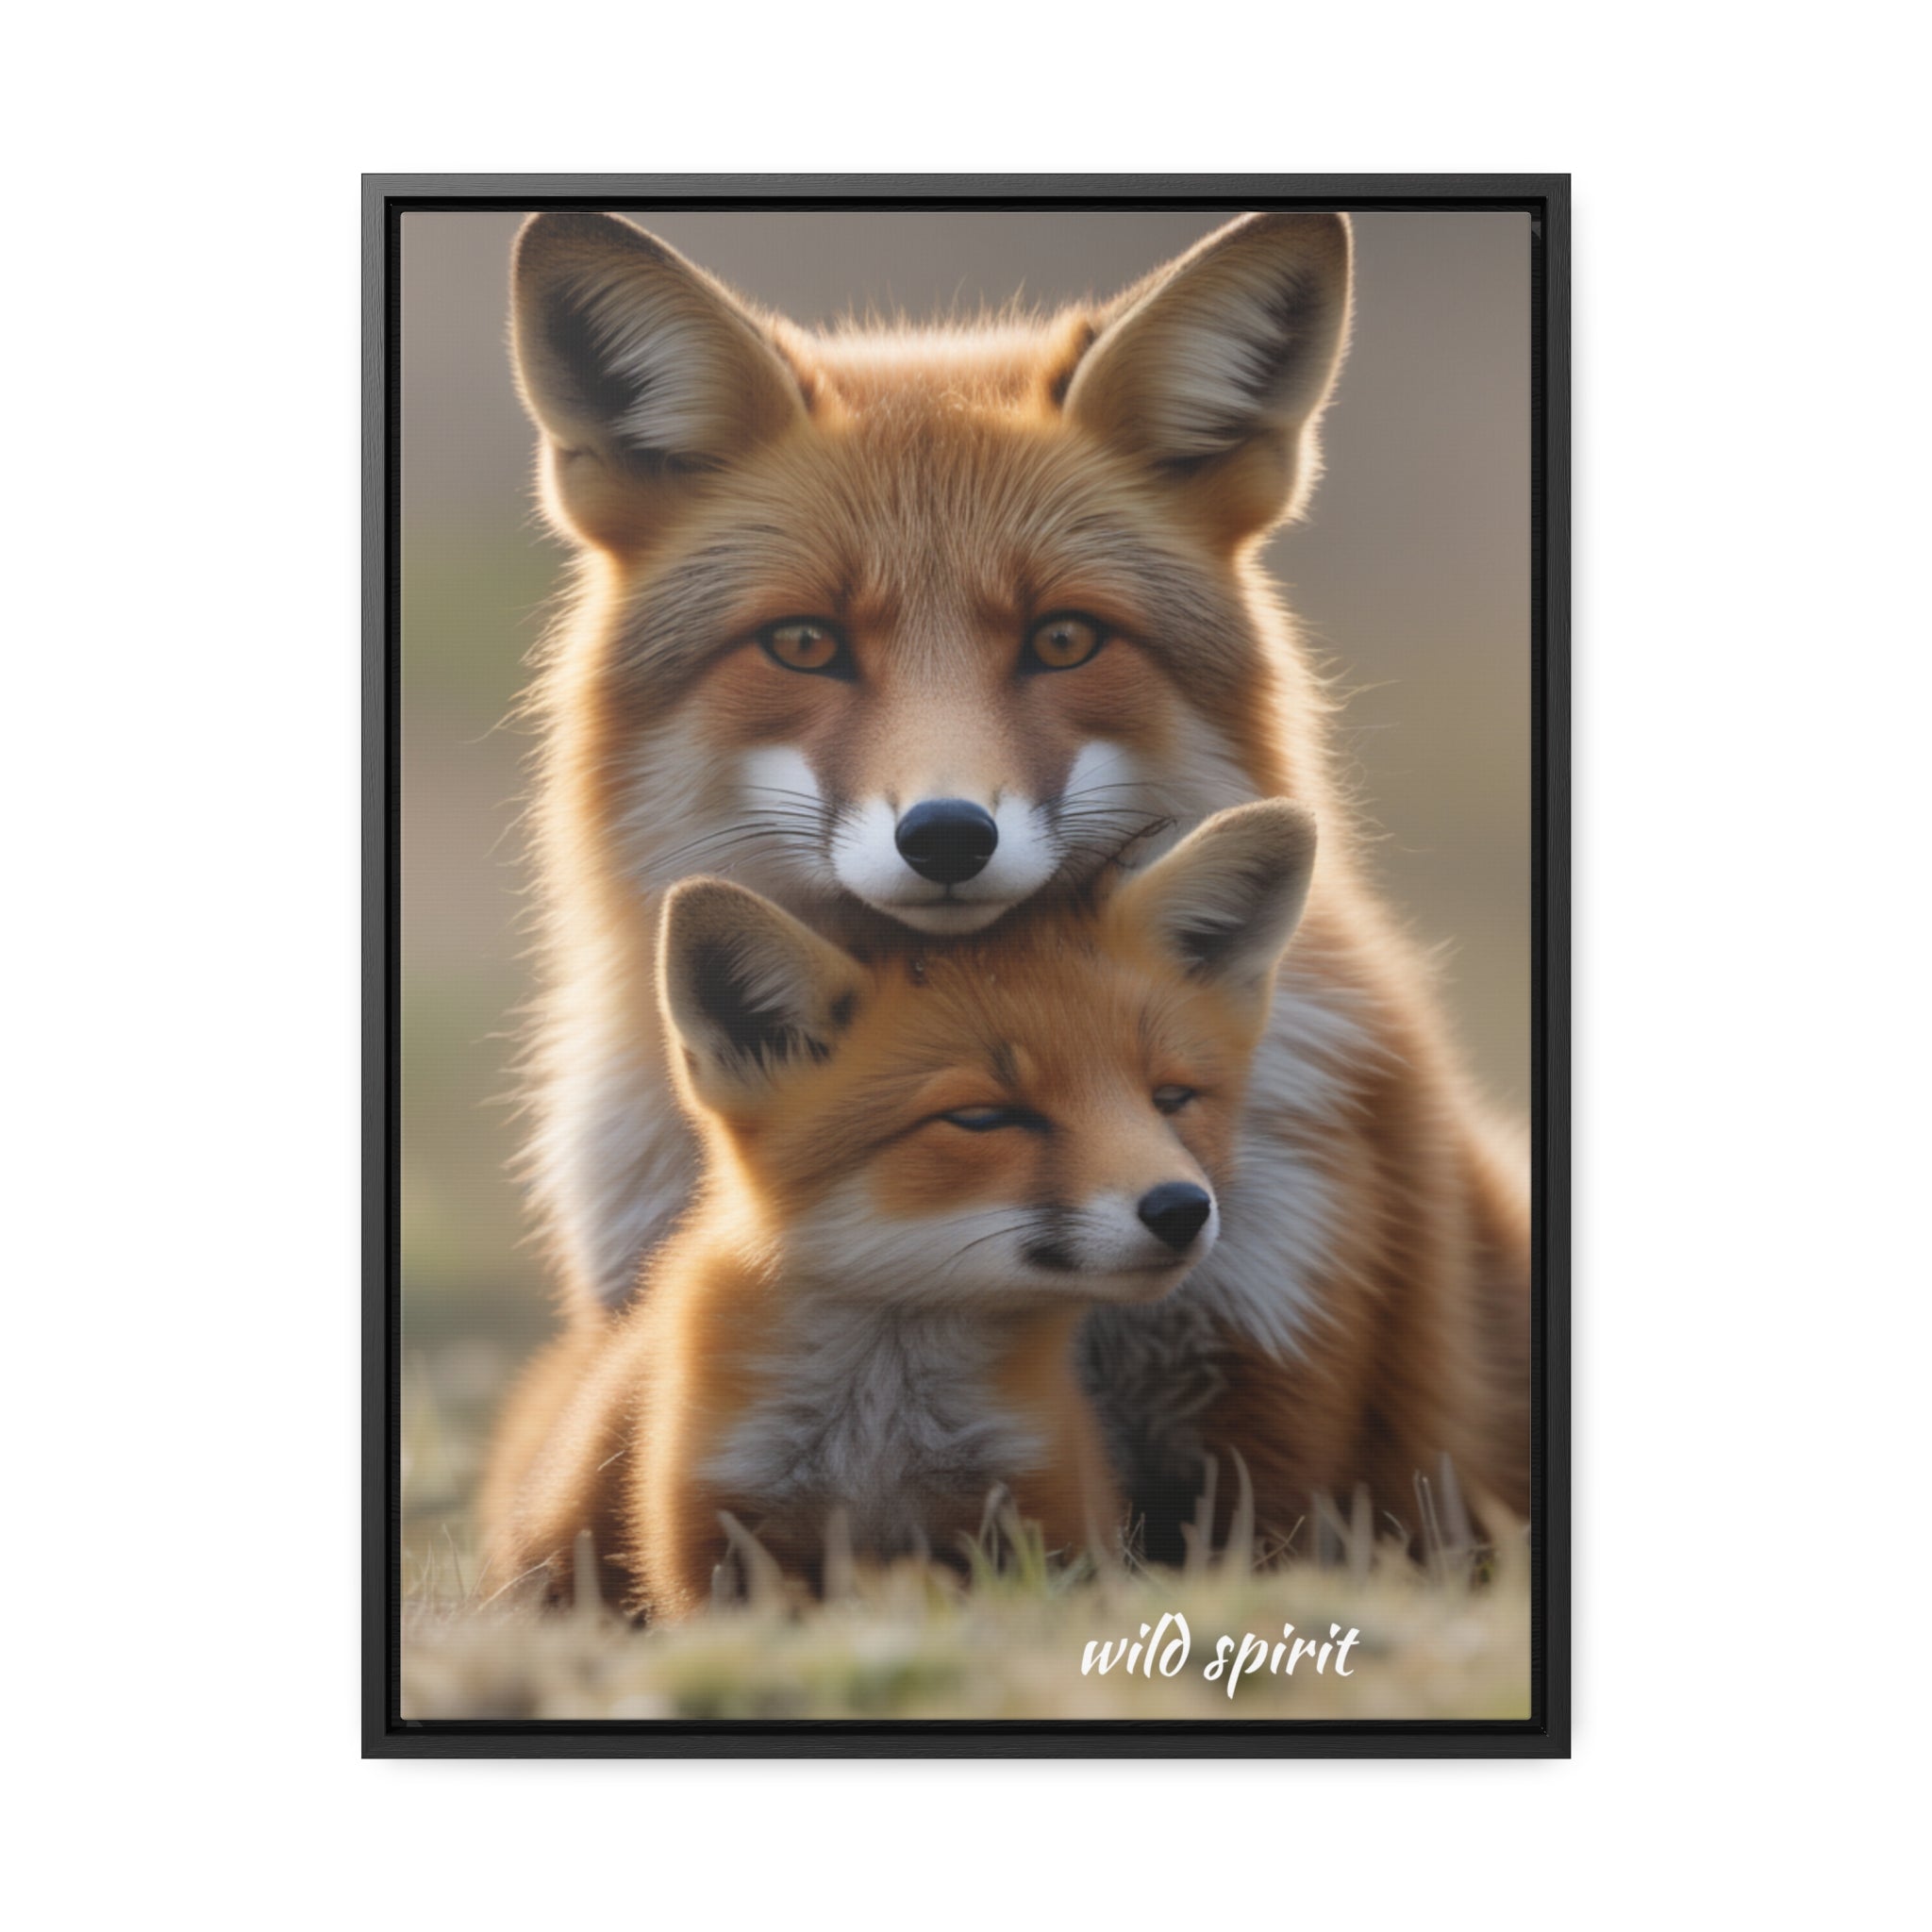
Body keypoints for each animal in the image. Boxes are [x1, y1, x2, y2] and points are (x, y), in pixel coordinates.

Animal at [480, 802, 1320, 1617]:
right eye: (984, 1117)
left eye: (1171, 1099)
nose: (1181, 1209)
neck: (879, 1434)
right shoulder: (715, 1536)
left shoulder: (1044, 1513)